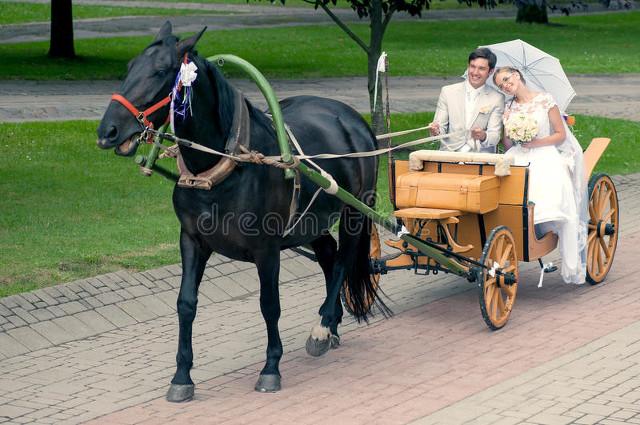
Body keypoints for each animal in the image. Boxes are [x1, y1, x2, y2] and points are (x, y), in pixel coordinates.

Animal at [95, 22, 384, 400]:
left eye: (160, 71)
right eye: (129, 67)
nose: (108, 131)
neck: (223, 168)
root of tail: (353, 119)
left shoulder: (267, 249)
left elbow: (269, 304)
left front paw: (271, 367)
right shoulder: (192, 240)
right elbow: (186, 303)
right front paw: (182, 375)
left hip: (354, 213)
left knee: (342, 262)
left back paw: (322, 328)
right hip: (311, 220)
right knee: (328, 253)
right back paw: (331, 323)